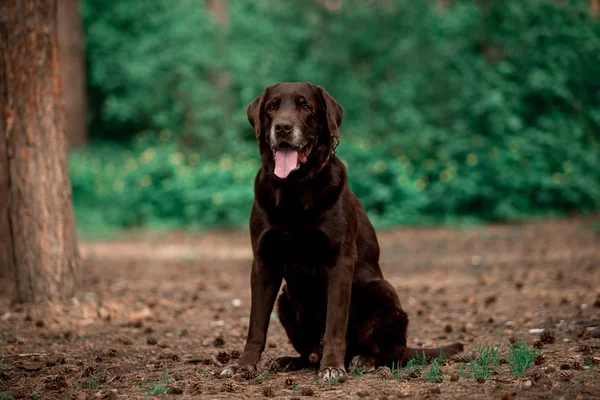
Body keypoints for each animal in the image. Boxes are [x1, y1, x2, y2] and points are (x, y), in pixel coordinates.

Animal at [220, 81, 464, 382]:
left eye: (305, 106)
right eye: (271, 107)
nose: (283, 127)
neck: (294, 189)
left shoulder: (340, 261)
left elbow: (335, 323)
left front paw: (332, 367)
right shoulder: (264, 262)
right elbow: (256, 324)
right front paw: (243, 365)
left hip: (382, 291)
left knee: (392, 354)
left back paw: (365, 360)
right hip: (285, 300)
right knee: (310, 352)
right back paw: (292, 360)